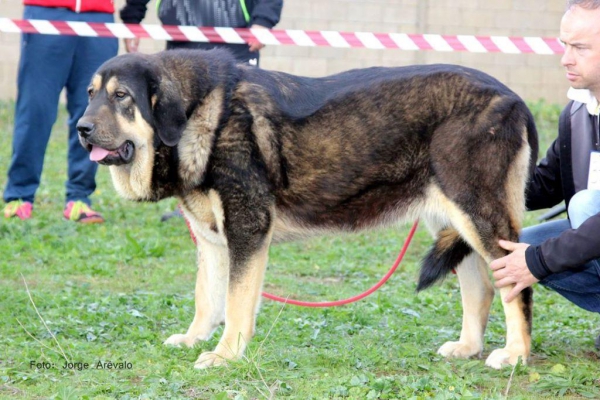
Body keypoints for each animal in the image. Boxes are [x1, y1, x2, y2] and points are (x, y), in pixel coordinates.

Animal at [76, 49, 540, 368]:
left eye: (121, 96)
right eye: (90, 94)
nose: (80, 128)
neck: (200, 112)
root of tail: (514, 97)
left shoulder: (247, 230)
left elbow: (236, 303)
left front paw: (225, 356)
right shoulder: (212, 240)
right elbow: (206, 299)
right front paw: (195, 339)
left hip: (479, 214)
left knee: (516, 283)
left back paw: (515, 353)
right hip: (451, 217)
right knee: (481, 287)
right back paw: (468, 347)